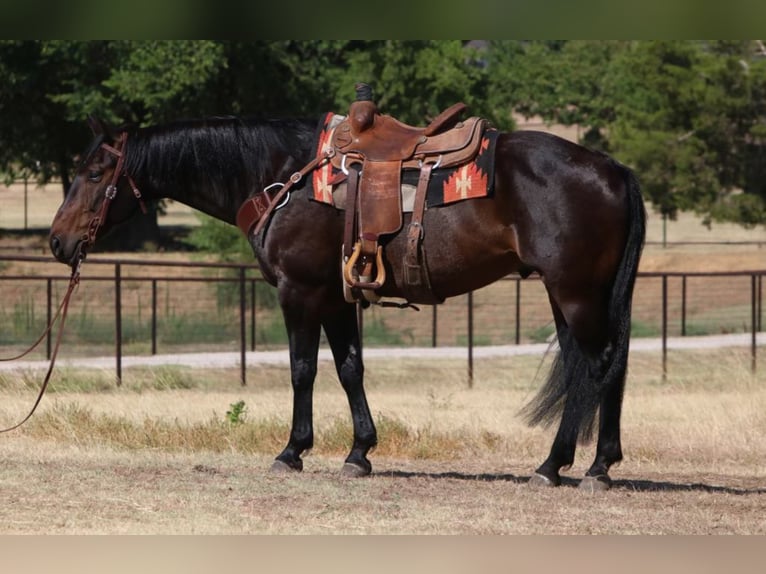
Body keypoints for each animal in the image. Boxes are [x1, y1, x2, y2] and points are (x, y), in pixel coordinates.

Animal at [49, 113, 648, 496]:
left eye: (96, 173)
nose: (57, 241)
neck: (282, 178)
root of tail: (612, 168)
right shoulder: (336, 299)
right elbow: (349, 369)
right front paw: (359, 453)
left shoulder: (298, 292)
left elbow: (302, 369)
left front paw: (292, 451)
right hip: (570, 294)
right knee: (604, 367)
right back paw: (586, 464)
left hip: (575, 292)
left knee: (597, 365)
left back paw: (571, 466)